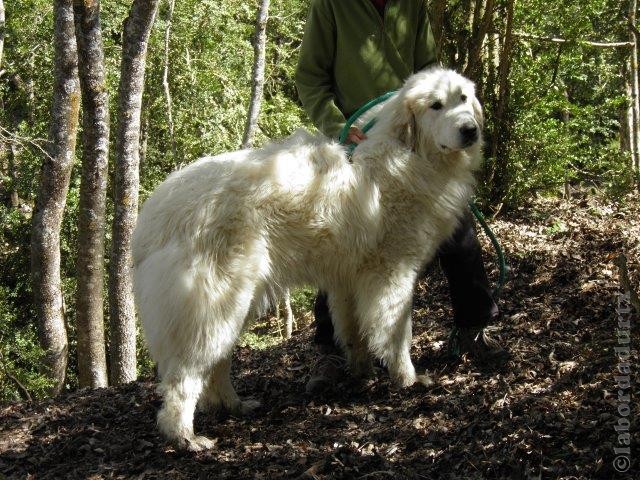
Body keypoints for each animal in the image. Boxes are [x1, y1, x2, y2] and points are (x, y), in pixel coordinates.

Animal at [132, 67, 482, 450]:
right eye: (436, 105)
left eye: (463, 98)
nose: (471, 130)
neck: (408, 154)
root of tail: (153, 213)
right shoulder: (392, 273)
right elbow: (396, 331)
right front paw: (407, 378)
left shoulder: (349, 280)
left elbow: (353, 331)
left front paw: (361, 373)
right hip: (212, 306)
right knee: (184, 377)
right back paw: (185, 436)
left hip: (235, 303)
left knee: (216, 366)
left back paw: (233, 405)